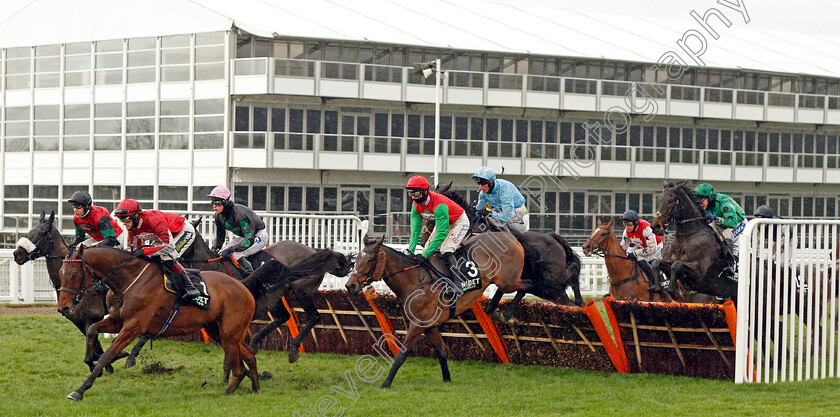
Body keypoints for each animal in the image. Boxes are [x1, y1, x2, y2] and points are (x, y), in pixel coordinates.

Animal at [13, 211, 120, 370]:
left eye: (42, 233)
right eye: (30, 231)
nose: (17, 254)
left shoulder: (92, 317)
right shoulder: (76, 319)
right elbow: (95, 345)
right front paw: (104, 363)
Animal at [57, 245, 260, 398]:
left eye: (74, 275)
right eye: (60, 273)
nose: (63, 308)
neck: (130, 280)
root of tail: (244, 288)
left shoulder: (134, 326)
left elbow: (108, 354)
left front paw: (81, 389)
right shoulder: (117, 320)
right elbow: (92, 329)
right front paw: (92, 362)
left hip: (229, 333)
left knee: (238, 366)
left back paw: (229, 391)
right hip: (217, 331)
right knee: (248, 354)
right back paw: (256, 387)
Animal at [344, 234, 520, 386]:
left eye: (370, 259)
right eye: (356, 259)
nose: (350, 285)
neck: (414, 281)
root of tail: (510, 236)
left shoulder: (418, 325)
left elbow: (401, 355)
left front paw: (386, 384)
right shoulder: (430, 326)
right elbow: (441, 352)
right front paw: (447, 380)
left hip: (509, 280)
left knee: (524, 285)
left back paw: (507, 314)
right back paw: (495, 311)